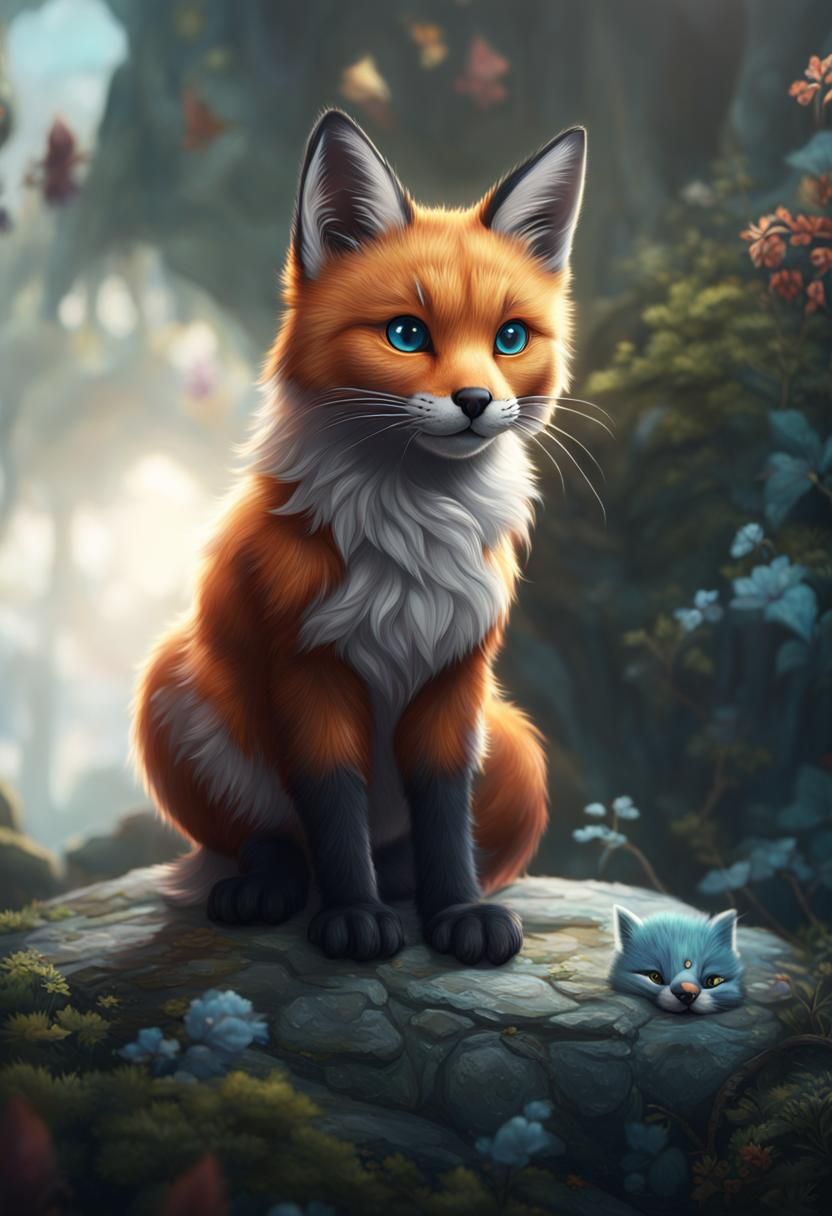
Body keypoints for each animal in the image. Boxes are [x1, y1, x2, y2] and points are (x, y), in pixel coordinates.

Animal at [132, 108, 587, 967]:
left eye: (511, 339)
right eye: (406, 334)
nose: (476, 401)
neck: (412, 543)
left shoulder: (455, 677)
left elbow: (445, 817)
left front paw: (457, 911)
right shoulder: (310, 670)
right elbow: (333, 807)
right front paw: (353, 918)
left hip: (514, 745)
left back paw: (406, 887)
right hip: (174, 691)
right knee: (273, 840)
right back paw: (268, 887)